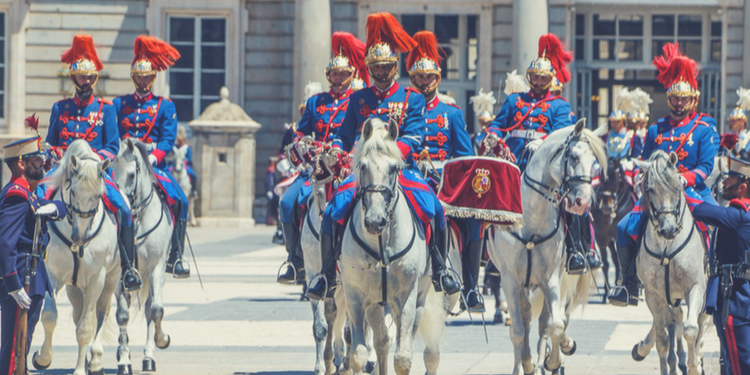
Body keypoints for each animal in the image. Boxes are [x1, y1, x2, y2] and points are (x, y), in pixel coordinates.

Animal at [32, 140, 121, 375]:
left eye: (98, 195)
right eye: (72, 191)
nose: (80, 236)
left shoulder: (97, 279)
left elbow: (86, 328)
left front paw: (80, 368)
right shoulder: (52, 274)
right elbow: (49, 316)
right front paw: (43, 357)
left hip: (111, 278)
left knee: (101, 312)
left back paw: (95, 360)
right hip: (74, 286)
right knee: (78, 313)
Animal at [110, 140, 175, 374]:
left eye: (131, 174)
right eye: (109, 171)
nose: (120, 207)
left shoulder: (156, 268)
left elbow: (155, 310)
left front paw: (161, 340)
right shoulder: (121, 272)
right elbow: (122, 315)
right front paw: (124, 360)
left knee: (149, 309)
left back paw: (148, 356)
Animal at [342, 119, 446, 375]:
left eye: (394, 168)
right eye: (362, 166)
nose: (375, 221)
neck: (381, 244)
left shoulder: (406, 296)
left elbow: (403, 358)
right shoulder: (355, 295)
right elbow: (358, 354)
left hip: (419, 298)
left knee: (404, 340)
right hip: (375, 304)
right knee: (382, 342)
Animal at [490, 121, 608, 375]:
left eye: (594, 161)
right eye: (573, 156)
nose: (583, 202)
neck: (532, 219)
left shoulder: (551, 278)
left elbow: (554, 324)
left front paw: (555, 357)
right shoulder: (510, 280)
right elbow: (517, 329)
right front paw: (524, 363)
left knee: (550, 320)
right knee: (526, 318)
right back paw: (528, 361)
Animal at [628, 151, 712, 375]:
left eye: (678, 187)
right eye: (649, 189)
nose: (668, 229)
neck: (666, 247)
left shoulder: (696, 287)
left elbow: (691, 329)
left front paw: (694, 366)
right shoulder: (653, 294)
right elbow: (663, 338)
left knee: (697, 324)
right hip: (670, 296)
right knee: (674, 320)